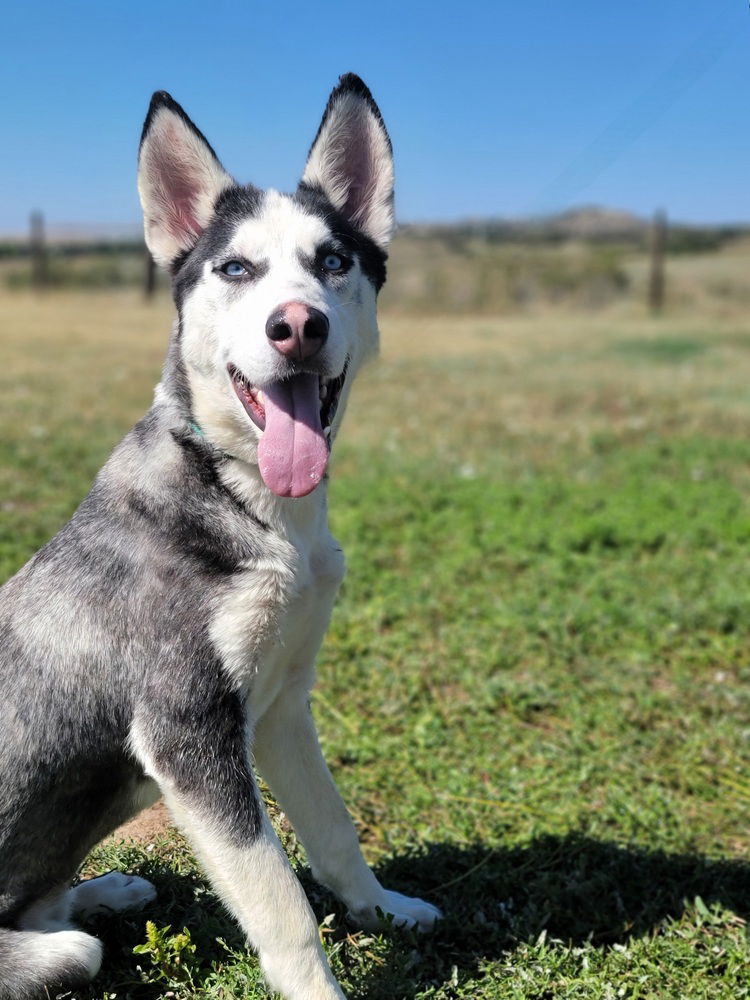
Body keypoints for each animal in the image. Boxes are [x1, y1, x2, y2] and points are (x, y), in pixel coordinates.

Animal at [0, 76, 440, 1000]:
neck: (250, 502)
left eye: (334, 261)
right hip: (59, 952)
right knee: (63, 940)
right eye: (236, 268)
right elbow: (281, 904)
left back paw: (109, 887)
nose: (297, 326)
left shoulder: (280, 706)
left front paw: (383, 909)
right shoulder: (191, 735)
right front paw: (320, 992)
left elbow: (334, 831)